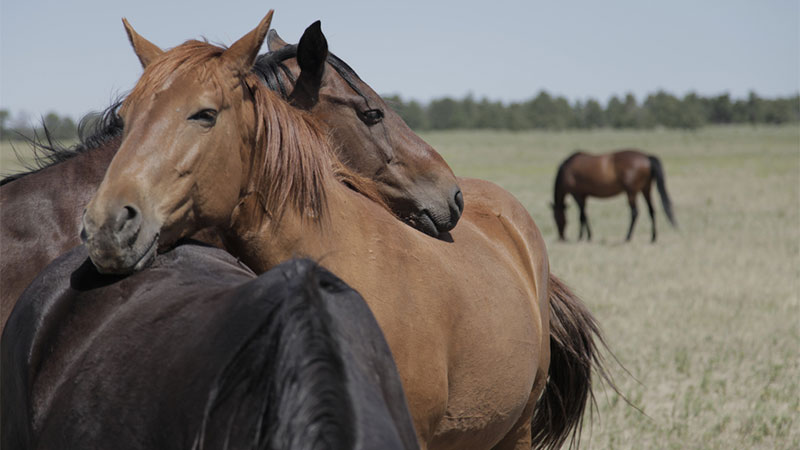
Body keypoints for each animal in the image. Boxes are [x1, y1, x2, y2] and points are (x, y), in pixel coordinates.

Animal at [552, 149, 680, 243]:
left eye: (556, 218)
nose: (561, 237)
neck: (566, 170)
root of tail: (647, 157)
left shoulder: (577, 194)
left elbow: (582, 216)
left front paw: (583, 237)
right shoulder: (584, 195)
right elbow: (584, 215)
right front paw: (586, 236)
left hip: (631, 192)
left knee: (634, 212)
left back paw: (627, 237)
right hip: (646, 189)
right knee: (651, 210)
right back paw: (653, 237)